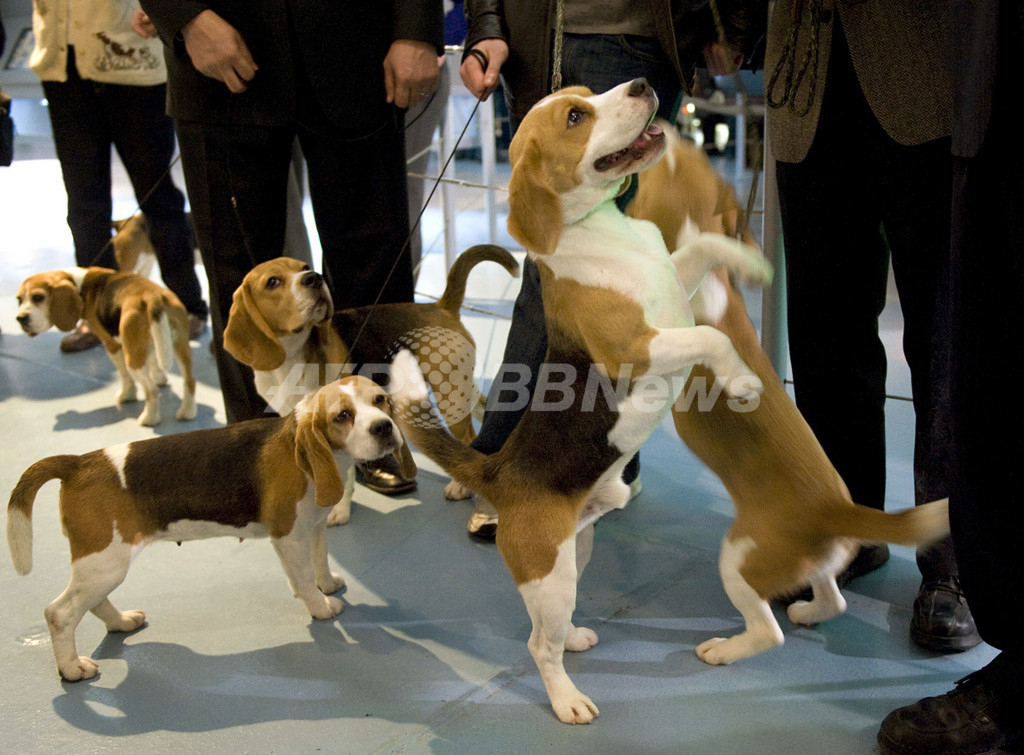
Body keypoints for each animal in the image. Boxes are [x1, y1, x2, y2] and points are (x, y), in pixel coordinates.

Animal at [7, 374, 415, 680]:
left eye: (380, 400)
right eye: (343, 415)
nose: (384, 428)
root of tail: (77, 463)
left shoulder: (313, 528)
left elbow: (320, 562)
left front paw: (328, 584)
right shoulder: (287, 537)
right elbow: (302, 579)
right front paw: (321, 606)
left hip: (101, 565)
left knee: (92, 603)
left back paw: (120, 622)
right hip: (105, 562)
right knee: (59, 613)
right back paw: (72, 668)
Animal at [15, 268, 195, 426]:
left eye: (38, 297)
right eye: (19, 299)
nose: (20, 318)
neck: (81, 286)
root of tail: (153, 296)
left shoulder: (111, 345)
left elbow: (125, 376)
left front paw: (127, 395)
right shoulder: (149, 344)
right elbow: (153, 362)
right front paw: (159, 377)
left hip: (132, 357)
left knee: (151, 390)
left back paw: (149, 418)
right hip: (180, 347)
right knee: (189, 382)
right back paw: (187, 412)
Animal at [387, 77, 770, 725]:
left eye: (587, 93)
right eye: (575, 116)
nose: (642, 84)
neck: (601, 227)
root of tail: (497, 471)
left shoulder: (674, 281)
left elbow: (706, 247)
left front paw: (753, 260)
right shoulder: (637, 348)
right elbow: (710, 336)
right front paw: (741, 381)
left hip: (577, 551)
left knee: (552, 631)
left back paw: (576, 638)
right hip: (550, 574)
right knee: (537, 645)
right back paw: (567, 699)